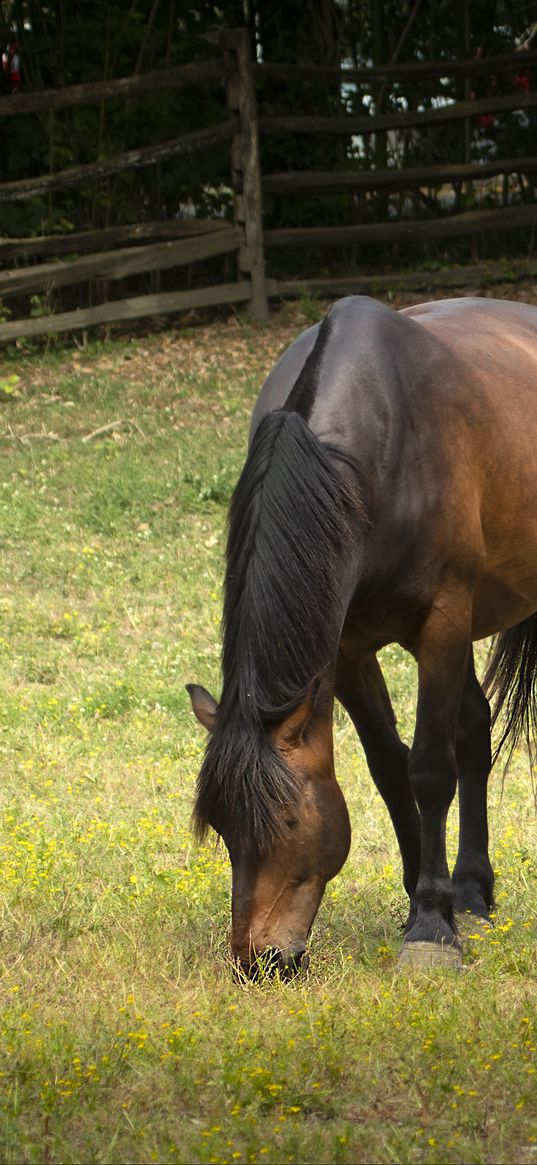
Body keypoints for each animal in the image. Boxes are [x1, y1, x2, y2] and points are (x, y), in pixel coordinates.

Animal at [185, 293, 535, 973]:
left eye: (288, 824)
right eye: (224, 830)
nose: (257, 961)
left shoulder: (441, 624)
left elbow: (430, 768)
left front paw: (431, 927)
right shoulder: (344, 648)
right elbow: (390, 768)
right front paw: (432, 899)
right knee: (474, 730)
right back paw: (474, 892)